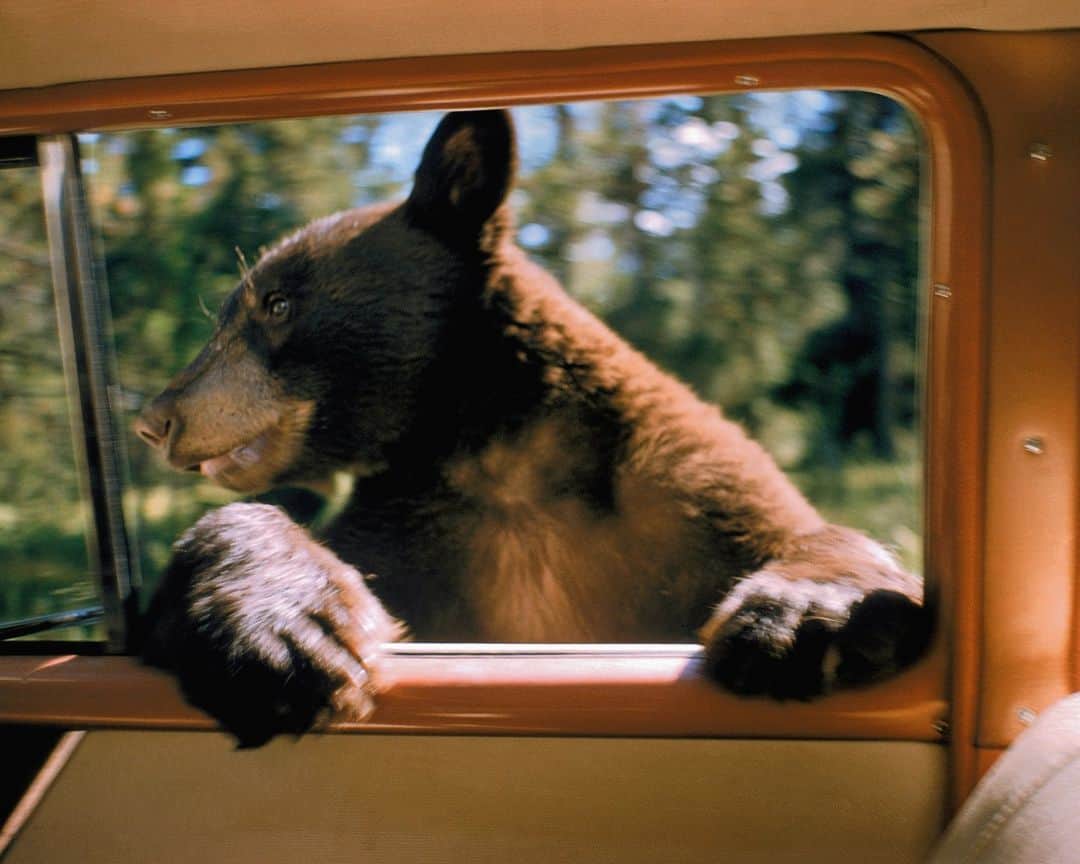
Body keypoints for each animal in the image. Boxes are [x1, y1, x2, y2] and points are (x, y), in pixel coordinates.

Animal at [135, 109, 929, 746]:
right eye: (226, 315)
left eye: (275, 304)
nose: (155, 417)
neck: (506, 455)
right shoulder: (419, 532)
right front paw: (290, 635)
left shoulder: (686, 497)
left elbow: (805, 534)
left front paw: (804, 618)